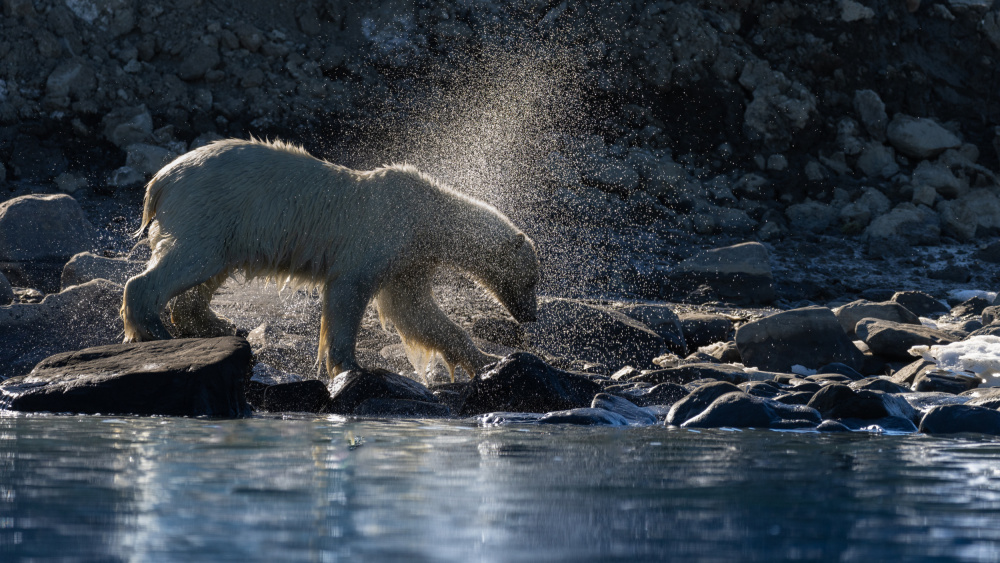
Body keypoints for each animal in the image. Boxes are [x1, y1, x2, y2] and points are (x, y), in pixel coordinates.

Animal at [120, 138, 539, 380]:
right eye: (531, 280)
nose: (531, 315)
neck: (426, 214)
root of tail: (160, 179)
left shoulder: (409, 259)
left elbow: (415, 310)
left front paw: (486, 359)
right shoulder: (379, 236)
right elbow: (349, 293)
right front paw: (351, 365)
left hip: (227, 224)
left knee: (212, 270)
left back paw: (217, 324)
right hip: (211, 205)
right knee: (191, 261)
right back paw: (153, 329)